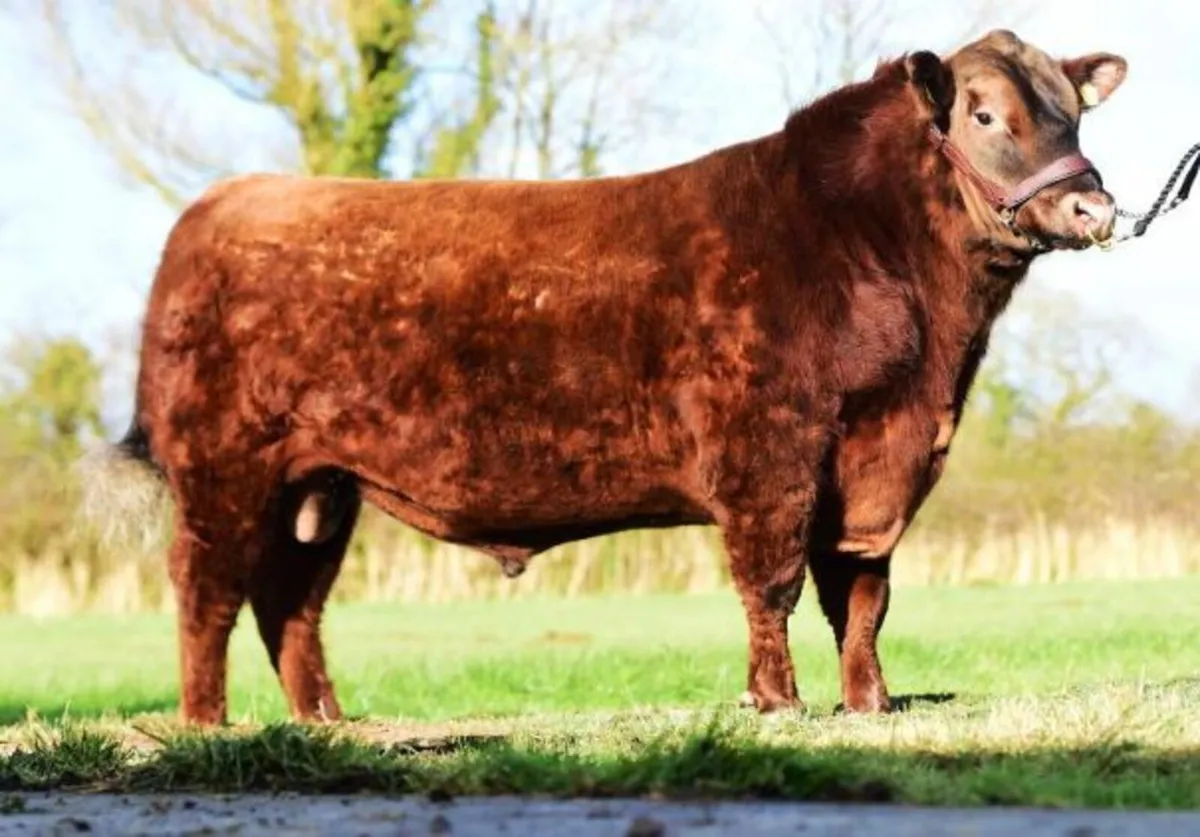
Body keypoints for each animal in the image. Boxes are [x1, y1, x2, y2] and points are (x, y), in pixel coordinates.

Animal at [95, 29, 1126, 725]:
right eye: (985, 115)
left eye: (1072, 111)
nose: (1092, 205)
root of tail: (225, 201)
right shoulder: (770, 452)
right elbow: (776, 583)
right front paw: (776, 700)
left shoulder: (880, 466)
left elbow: (863, 596)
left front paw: (870, 702)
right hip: (225, 469)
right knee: (207, 589)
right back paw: (205, 723)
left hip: (319, 487)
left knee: (290, 599)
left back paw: (328, 722)